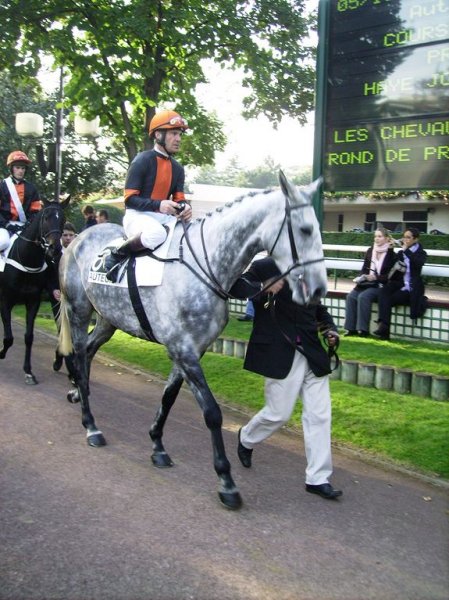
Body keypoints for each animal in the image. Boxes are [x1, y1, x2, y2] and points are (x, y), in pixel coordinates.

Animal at [58, 171, 326, 508]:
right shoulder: (183, 350)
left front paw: (158, 446)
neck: (203, 268)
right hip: (78, 311)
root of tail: (77, 239)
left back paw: (78, 394)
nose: (319, 289)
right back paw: (91, 424)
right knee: (78, 357)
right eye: (305, 230)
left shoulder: (190, 350)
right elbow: (212, 413)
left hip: (108, 319)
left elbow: (168, 398)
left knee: (88, 354)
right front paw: (226, 481)